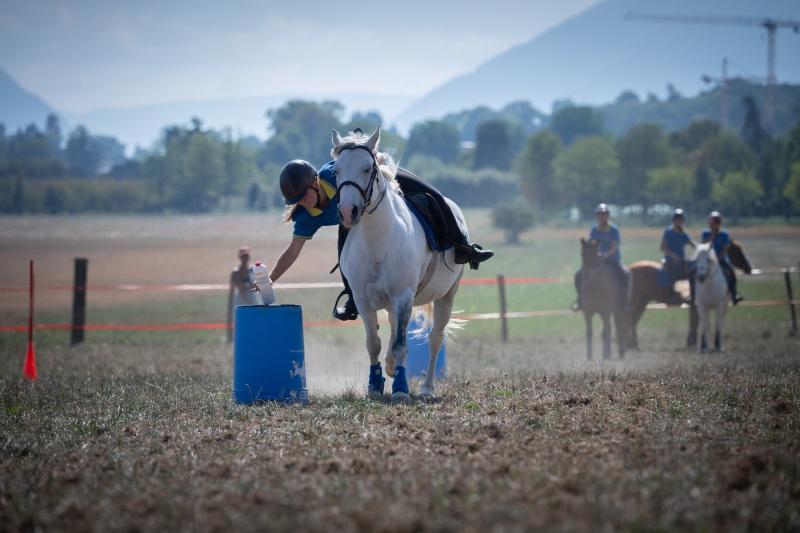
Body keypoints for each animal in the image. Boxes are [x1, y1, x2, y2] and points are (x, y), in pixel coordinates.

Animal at [334, 124, 466, 400]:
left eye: (367, 168)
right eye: (336, 170)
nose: (348, 212)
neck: (378, 239)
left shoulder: (404, 297)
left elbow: (401, 346)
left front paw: (401, 389)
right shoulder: (363, 301)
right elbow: (374, 343)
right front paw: (374, 385)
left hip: (446, 296)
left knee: (435, 338)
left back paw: (427, 388)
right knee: (395, 329)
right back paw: (390, 368)